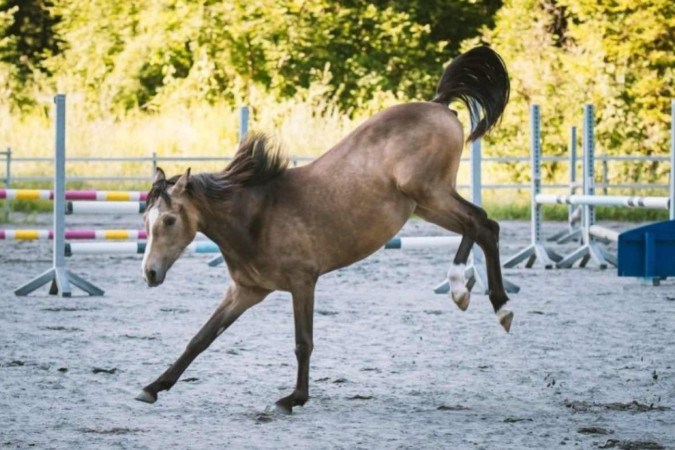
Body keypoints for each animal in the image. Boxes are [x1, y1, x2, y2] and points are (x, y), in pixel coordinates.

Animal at [135, 44, 510, 412]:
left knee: (477, 221)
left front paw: (294, 398)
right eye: (146, 222)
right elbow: (200, 338)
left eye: (169, 220)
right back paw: (498, 305)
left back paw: (464, 289)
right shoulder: (246, 291)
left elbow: (303, 341)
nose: (150, 273)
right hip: (426, 206)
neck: (256, 218)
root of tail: (439, 104)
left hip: (429, 191)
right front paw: (153, 387)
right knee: (485, 227)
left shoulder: (303, 282)